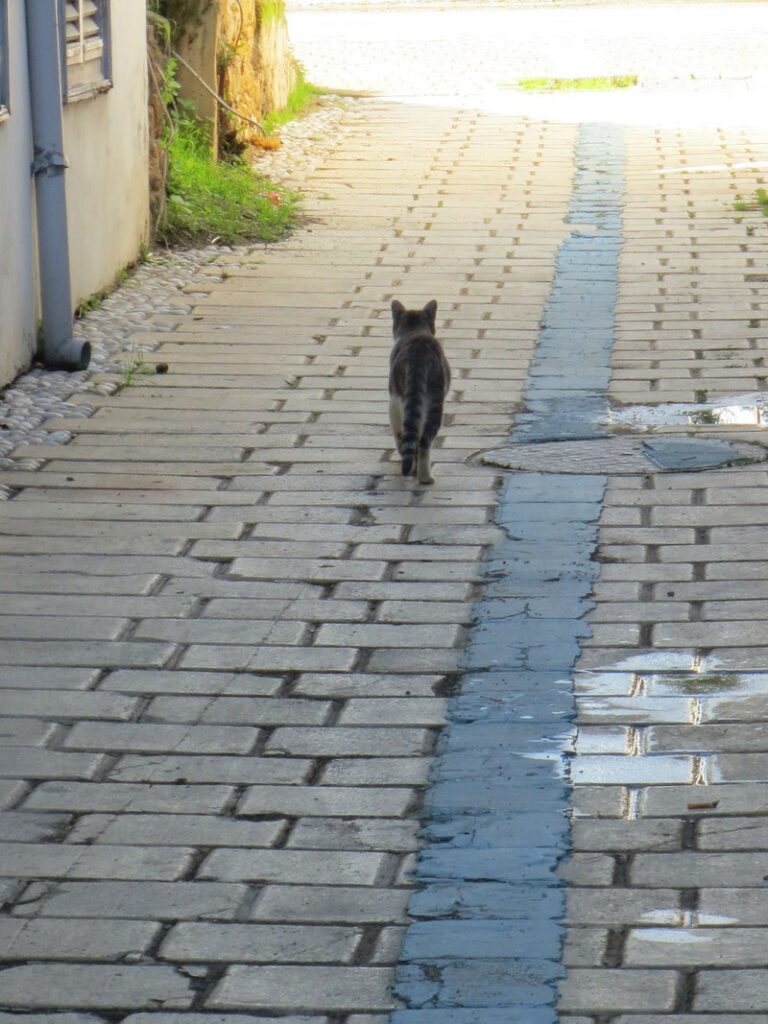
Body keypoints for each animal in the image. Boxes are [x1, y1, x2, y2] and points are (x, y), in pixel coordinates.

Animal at [389, 298, 451, 485]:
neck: (415, 330)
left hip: (398, 401)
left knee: (406, 434)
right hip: (435, 400)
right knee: (424, 440)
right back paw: (425, 477)